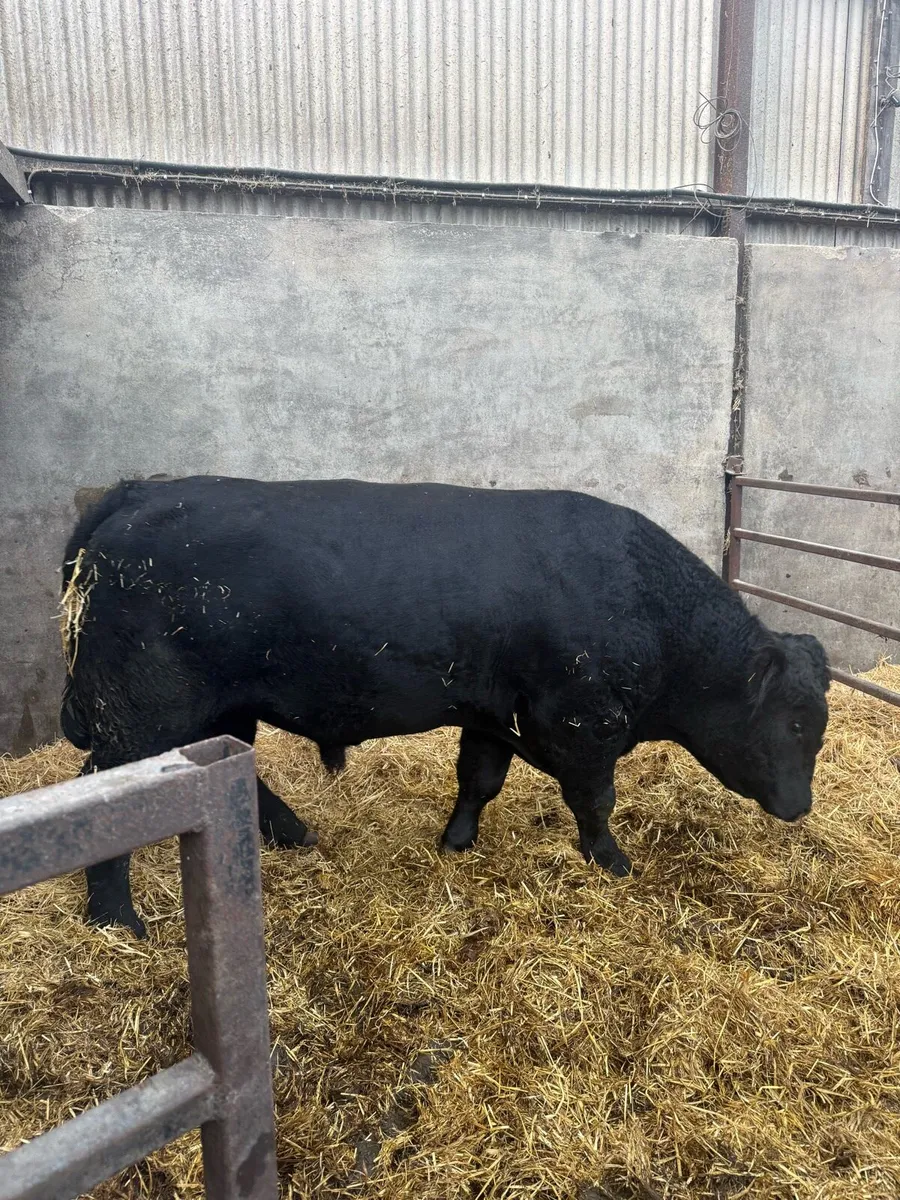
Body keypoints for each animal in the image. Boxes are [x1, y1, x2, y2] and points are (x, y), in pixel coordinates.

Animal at [59, 477, 830, 938]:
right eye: (795, 721)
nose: (800, 807)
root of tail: (141, 490)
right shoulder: (581, 723)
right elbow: (594, 800)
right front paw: (611, 861)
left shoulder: (492, 714)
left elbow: (478, 779)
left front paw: (456, 842)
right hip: (141, 714)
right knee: (99, 793)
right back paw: (115, 919)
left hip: (222, 709)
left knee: (239, 769)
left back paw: (292, 832)